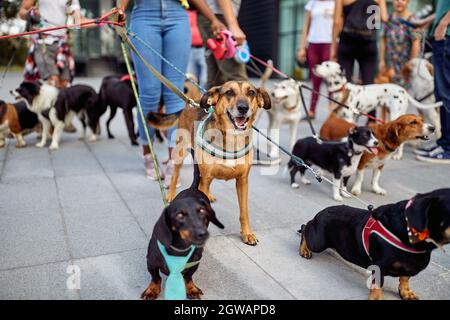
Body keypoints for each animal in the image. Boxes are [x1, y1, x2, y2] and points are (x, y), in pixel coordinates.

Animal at [148, 80, 270, 245]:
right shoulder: (205, 177)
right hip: (180, 153)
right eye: (229, 92)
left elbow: (244, 212)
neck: (232, 139)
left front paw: (247, 234)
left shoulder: (242, 181)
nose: (243, 108)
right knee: (175, 173)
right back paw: (171, 193)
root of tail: (191, 103)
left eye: (251, 92)